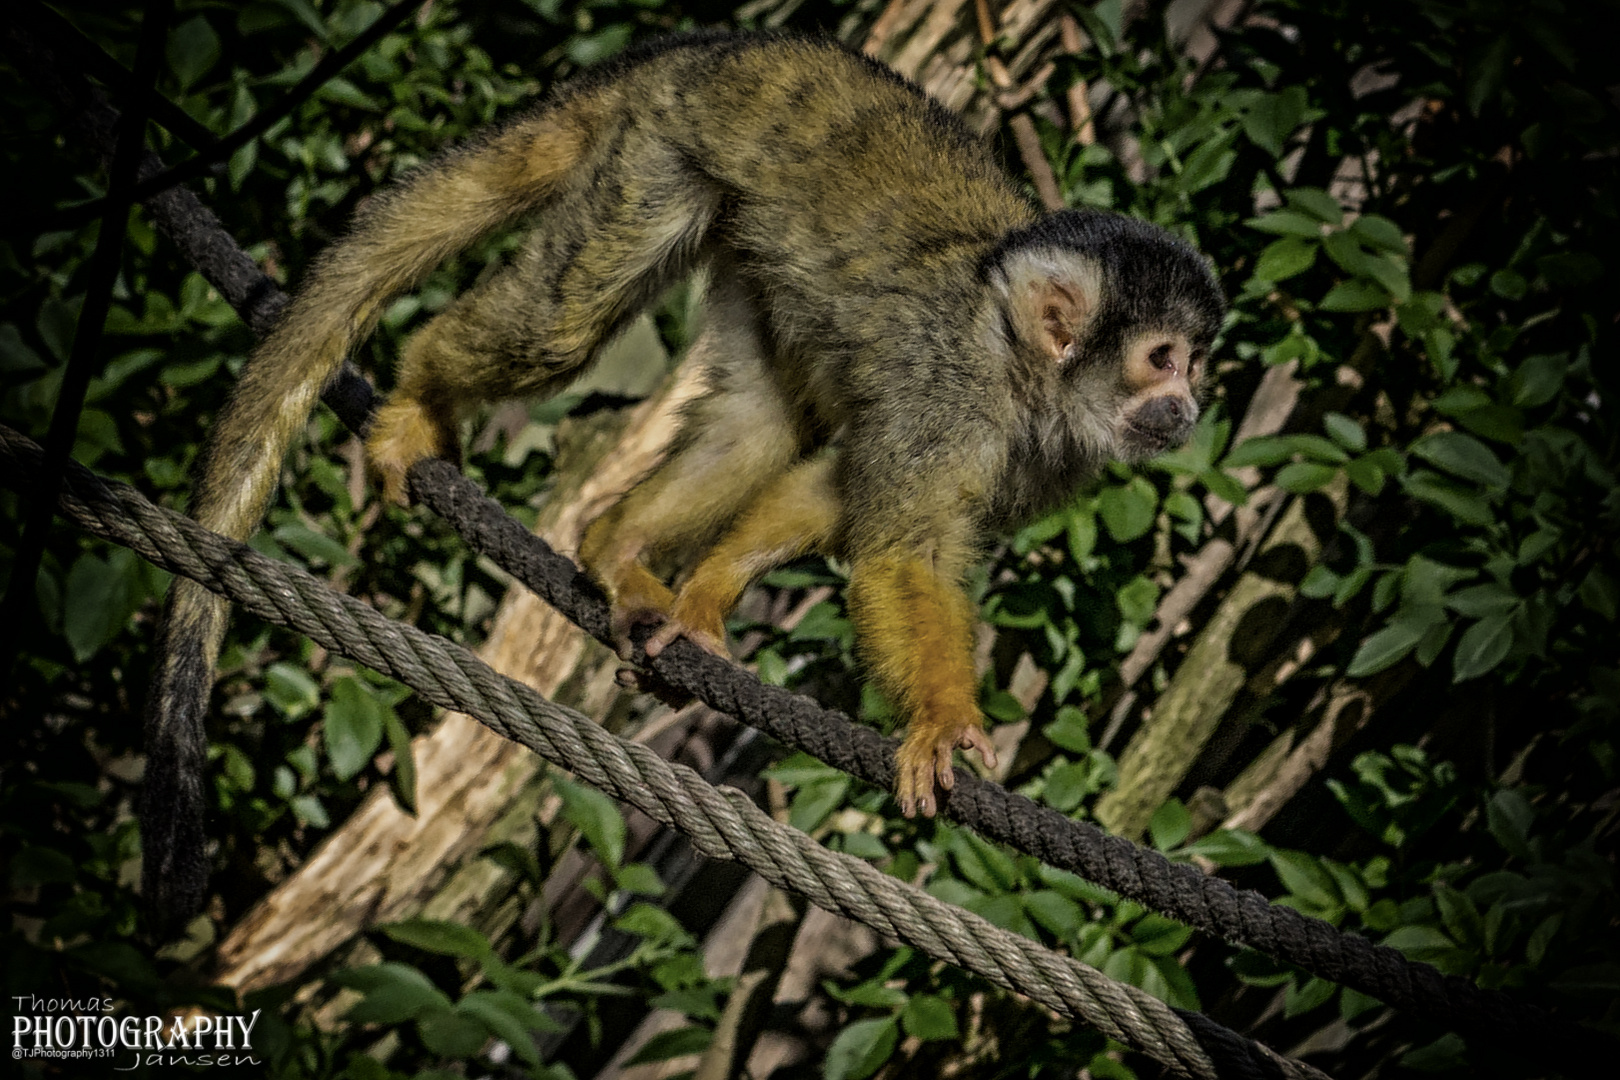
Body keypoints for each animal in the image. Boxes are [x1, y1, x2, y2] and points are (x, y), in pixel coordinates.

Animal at [152, 29, 1218, 906]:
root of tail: (708, 47)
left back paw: (617, 546)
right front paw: (943, 721)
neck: (1019, 374)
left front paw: (707, 600)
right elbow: (898, 552)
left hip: (744, 221)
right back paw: (419, 404)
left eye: (1195, 361)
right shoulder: (947, 393)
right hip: (663, 151)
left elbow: (832, 491)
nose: (1194, 403)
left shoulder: (1046, 455)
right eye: (1163, 359)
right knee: (561, 327)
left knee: (757, 420)